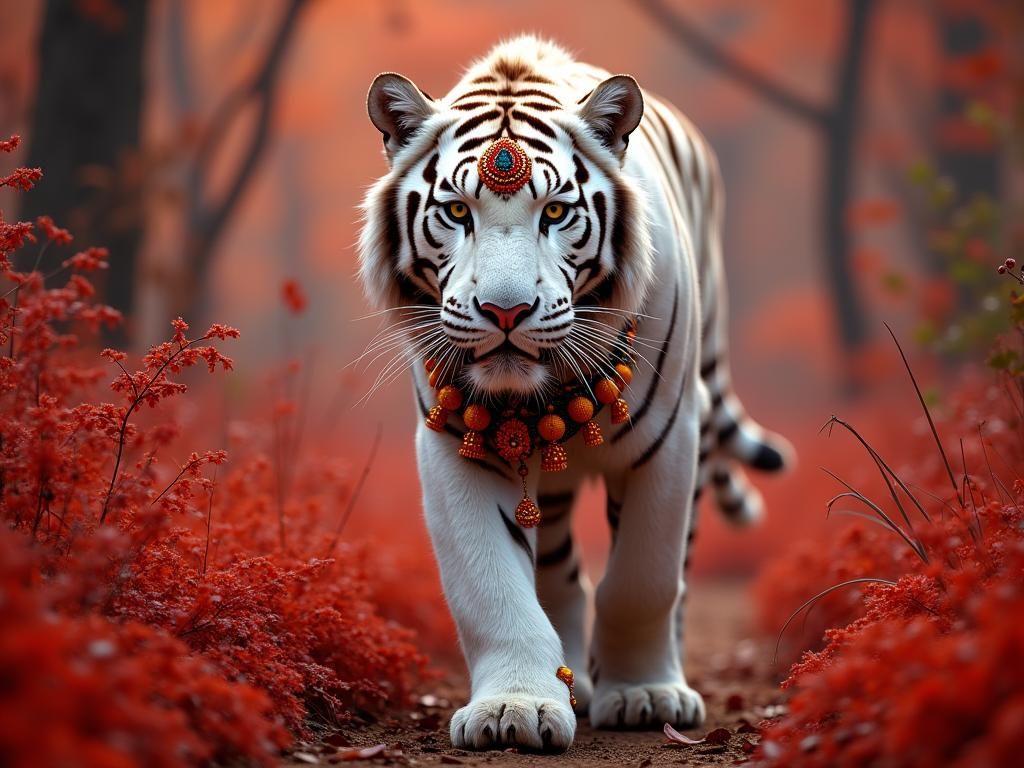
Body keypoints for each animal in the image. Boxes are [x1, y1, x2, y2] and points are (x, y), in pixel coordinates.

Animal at [357, 36, 792, 752]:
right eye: (457, 211)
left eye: (556, 212)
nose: (505, 311)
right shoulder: (456, 445)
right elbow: (493, 589)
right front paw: (514, 706)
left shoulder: (669, 439)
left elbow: (644, 578)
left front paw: (645, 694)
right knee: (557, 572)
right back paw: (570, 683)